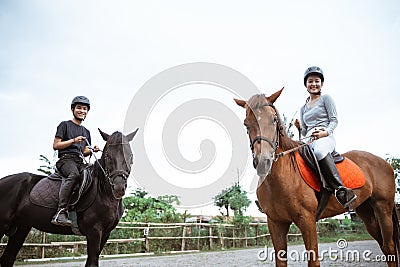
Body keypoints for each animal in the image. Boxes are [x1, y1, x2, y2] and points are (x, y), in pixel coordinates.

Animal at [0, 129, 138, 266]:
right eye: (107, 156)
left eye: (130, 156)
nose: (118, 187)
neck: (103, 193)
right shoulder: (94, 232)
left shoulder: (105, 233)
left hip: (20, 228)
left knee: (8, 258)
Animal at [236, 89, 398, 266]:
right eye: (246, 124)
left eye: (273, 119)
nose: (263, 161)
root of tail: (383, 162)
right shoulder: (275, 223)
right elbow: (281, 260)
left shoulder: (307, 220)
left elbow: (313, 260)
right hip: (366, 211)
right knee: (384, 246)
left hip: (382, 207)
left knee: (389, 247)